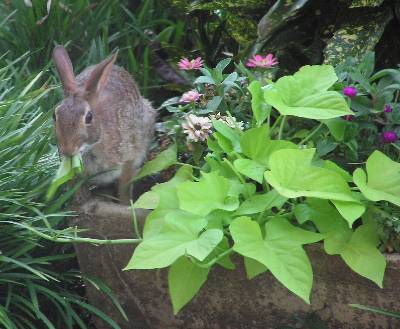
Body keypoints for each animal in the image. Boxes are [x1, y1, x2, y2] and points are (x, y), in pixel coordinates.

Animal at [50, 44, 156, 201]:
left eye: (88, 117)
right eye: (54, 115)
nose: (67, 150)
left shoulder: (128, 160)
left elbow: (124, 188)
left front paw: (125, 203)